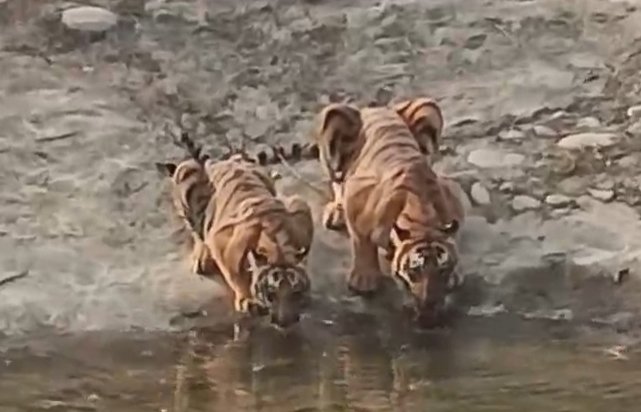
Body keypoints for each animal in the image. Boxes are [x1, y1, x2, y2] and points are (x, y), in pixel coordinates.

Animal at [156, 133, 316, 328]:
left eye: (295, 293)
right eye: (271, 295)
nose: (285, 323)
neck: (278, 244)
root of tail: (220, 160)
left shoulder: (301, 209)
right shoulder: (222, 241)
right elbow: (234, 274)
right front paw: (246, 300)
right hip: (186, 171)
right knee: (197, 232)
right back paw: (202, 259)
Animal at [311, 102, 463, 327]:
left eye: (442, 271)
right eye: (414, 271)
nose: (429, 307)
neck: (422, 219)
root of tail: (375, 108)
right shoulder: (356, 196)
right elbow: (362, 243)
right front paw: (363, 281)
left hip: (427, 108)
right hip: (333, 125)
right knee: (337, 180)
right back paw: (336, 213)